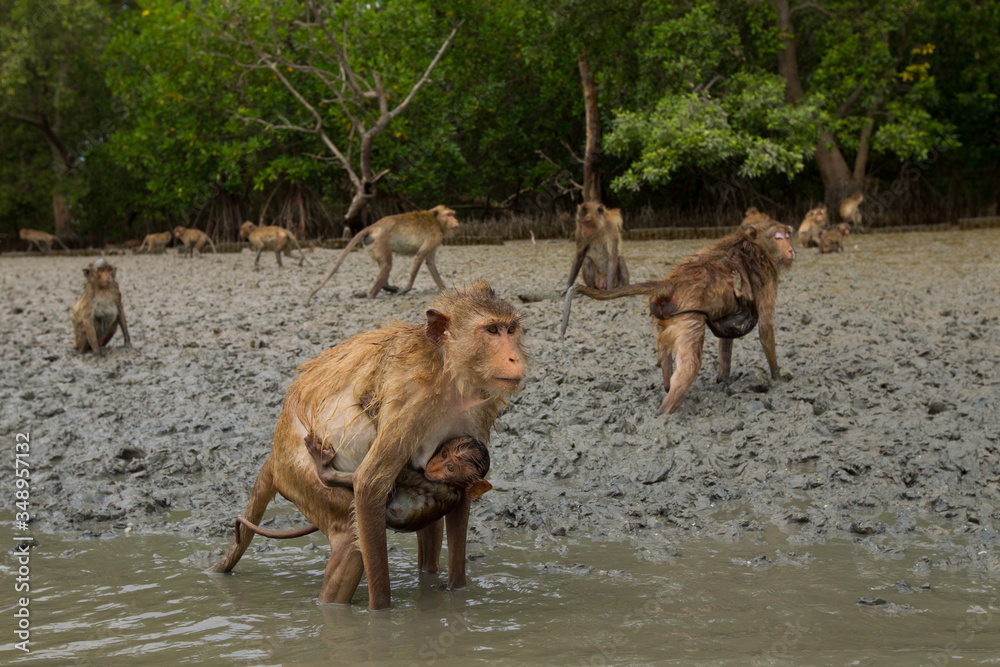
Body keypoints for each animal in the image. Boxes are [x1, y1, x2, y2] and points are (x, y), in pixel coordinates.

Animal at [211, 281, 526, 609]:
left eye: (511, 329)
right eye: (491, 330)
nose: (514, 358)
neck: (448, 371)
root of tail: (276, 451)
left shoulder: (478, 410)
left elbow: (461, 499)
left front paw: (457, 595)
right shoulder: (411, 400)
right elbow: (370, 484)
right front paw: (381, 614)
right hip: (297, 469)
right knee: (349, 538)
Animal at [307, 205, 459, 301]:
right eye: (449, 215)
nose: (456, 221)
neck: (437, 221)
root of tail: (375, 225)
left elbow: (430, 262)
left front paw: (444, 289)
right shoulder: (435, 235)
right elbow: (420, 256)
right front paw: (407, 288)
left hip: (372, 243)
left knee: (384, 265)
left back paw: (387, 287)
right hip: (380, 238)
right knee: (387, 265)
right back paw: (371, 295)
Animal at [561, 220, 794, 415]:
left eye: (787, 235)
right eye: (779, 236)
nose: (792, 249)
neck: (753, 244)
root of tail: (672, 284)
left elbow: (726, 338)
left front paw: (725, 378)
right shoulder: (766, 275)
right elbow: (765, 327)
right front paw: (777, 377)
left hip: (667, 318)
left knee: (666, 355)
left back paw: (667, 388)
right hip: (688, 317)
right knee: (690, 364)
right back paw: (664, 412)